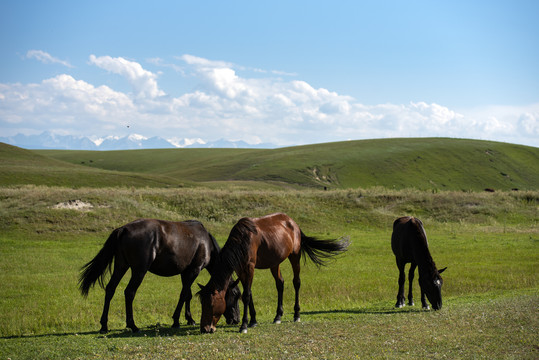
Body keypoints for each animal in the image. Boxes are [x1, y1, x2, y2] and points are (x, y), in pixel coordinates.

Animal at [78, 218, 240, 334]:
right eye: (235, 295)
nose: (236, 320)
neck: (206, 242)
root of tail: (124, 229)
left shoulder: (185, 272)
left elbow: (187, 294)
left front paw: (189, 319)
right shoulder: (194, 270)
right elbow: (183, 295)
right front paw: (176, 321)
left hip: (121, 266)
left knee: (110, 289)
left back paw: (104, 325)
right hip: (139, 270)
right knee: (129, 292)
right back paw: (133, 325)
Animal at [198, 212, 350, 334]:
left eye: (211, 304)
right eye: (202, 303)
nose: (205, 328)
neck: (242, 240)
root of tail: (293, 223)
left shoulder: (249, 267)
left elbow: (246, 295)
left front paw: (244, 325)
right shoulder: (240, 269)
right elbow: (249, 294)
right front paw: (253, 321)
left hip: (295, 256)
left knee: (296, 282)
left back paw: (296, 314)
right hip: (274, 263)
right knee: (280, 284)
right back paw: (278, 316)